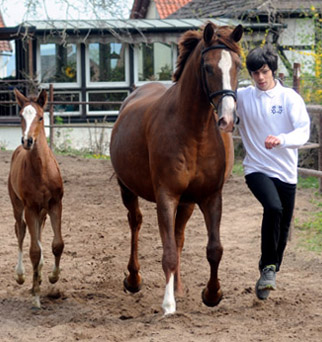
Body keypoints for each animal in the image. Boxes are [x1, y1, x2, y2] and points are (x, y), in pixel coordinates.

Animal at [7, 88, 64, 308]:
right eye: (21, 116)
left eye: (40, 117)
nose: (27, 141)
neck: (41, 171)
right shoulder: (30, 207)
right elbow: (33, 251)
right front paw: (37, 297)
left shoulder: (56, 204)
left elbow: (57, 245)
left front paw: (53, 277)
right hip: (17, 205)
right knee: (21, 231)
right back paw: (22, 275)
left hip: (43, 212)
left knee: (38, 234)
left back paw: (37, 277)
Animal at [109, 22, 243, 316]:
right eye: (208, 67)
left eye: (238, 66)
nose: (227, 119)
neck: (193, 130)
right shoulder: (166, 196)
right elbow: (168, 251)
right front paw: (168, 304)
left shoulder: (210, 197)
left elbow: (214, 249)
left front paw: (212, 294)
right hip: (128, 189)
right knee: (135, 223)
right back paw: (134, 279)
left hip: (187, 203)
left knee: (179, 236)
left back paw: (178, 286)